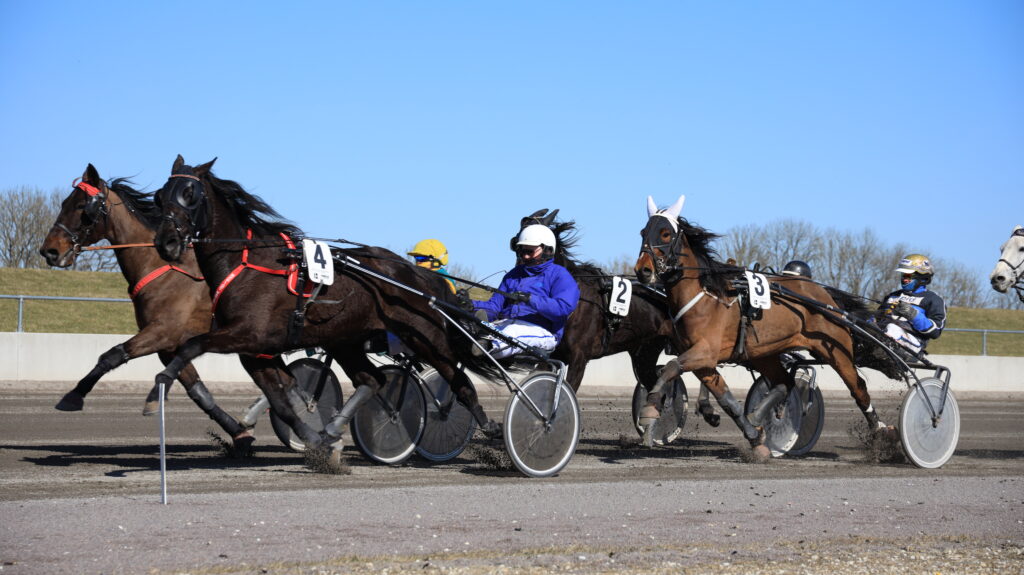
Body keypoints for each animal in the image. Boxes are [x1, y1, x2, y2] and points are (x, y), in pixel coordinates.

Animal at [38, 164, 255, 449]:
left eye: (82, 206)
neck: (162, 268)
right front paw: (239, 434)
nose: (49, 251)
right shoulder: (170, 346)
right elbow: (197, 391)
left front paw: (74, 395)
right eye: (64, 202)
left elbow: (112, 355)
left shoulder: (163, 331)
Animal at [150, 155, 500, 458]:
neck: (246, 264)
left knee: (460, 382)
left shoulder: (247, 334)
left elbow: (191, 345)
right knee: (372, 380)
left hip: (425, 335)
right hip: (346, 339)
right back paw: (332, 429)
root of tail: (419, 275)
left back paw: (492, 430)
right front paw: (313, 439)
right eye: (159, 196)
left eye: (190, 194)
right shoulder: (255, 350)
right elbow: (282, 401)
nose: (166, 243)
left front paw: (157, 390)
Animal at [634, 195, 891, 460]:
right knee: (785, 382)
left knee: (858, 389)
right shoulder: (702, 361)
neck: (704, 297)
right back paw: (757, 416)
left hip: (836, 351)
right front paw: (755, 439)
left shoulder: (705, 352)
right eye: (643, 232)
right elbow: (726, 400)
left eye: (665, 233)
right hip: (764, 354)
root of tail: (825, 295)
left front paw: (650, 411)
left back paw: (881, 435)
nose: (643, 270)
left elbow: (669, 369)